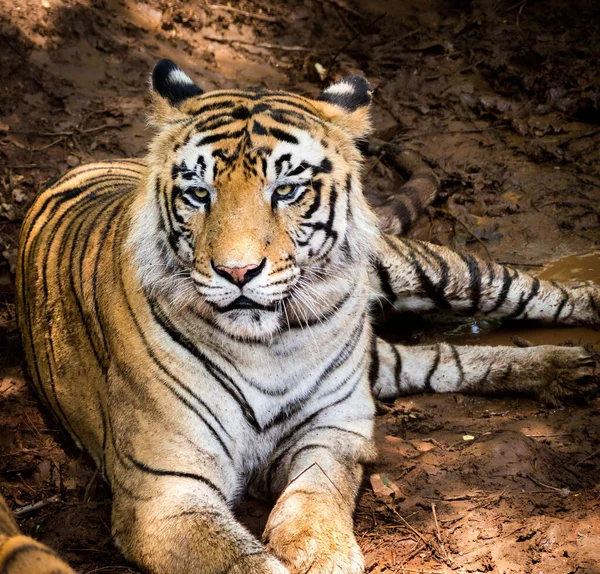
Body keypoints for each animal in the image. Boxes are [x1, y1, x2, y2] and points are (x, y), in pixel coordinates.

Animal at [16, 59, 596, 574]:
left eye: (287, 190)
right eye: (199, 193)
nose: (237, 271)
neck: (266, 347)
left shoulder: (333, 427)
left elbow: (314, 502)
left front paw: (323, 553)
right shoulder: (163, 489)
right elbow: (242, 560)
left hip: (421, 269)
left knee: (521, 288)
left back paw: (578, 335)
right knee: (441, 358)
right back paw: (567, 371)